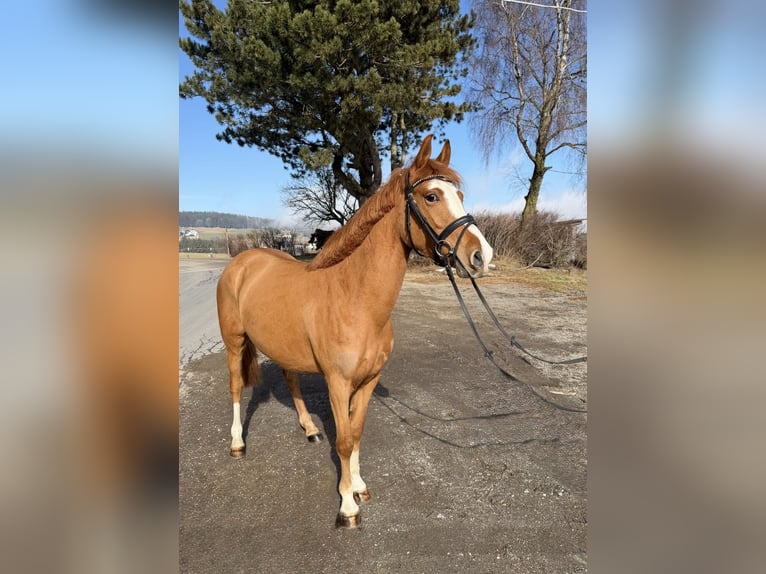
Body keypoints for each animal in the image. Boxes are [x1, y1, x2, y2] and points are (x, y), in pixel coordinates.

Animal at [216, 135, 494, 528]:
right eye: (431, 197)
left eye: (461, 196)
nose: (482, 256)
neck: (355, 299)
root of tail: (240, 261)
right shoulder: (338, 383)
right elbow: (345, 441)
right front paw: (347, 506)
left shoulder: (368, 381)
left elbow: (357, 433)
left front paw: (359, 486)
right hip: (234, 342)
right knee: (237, 386)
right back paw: (238, 443)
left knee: (290, 378)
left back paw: (310, 429)